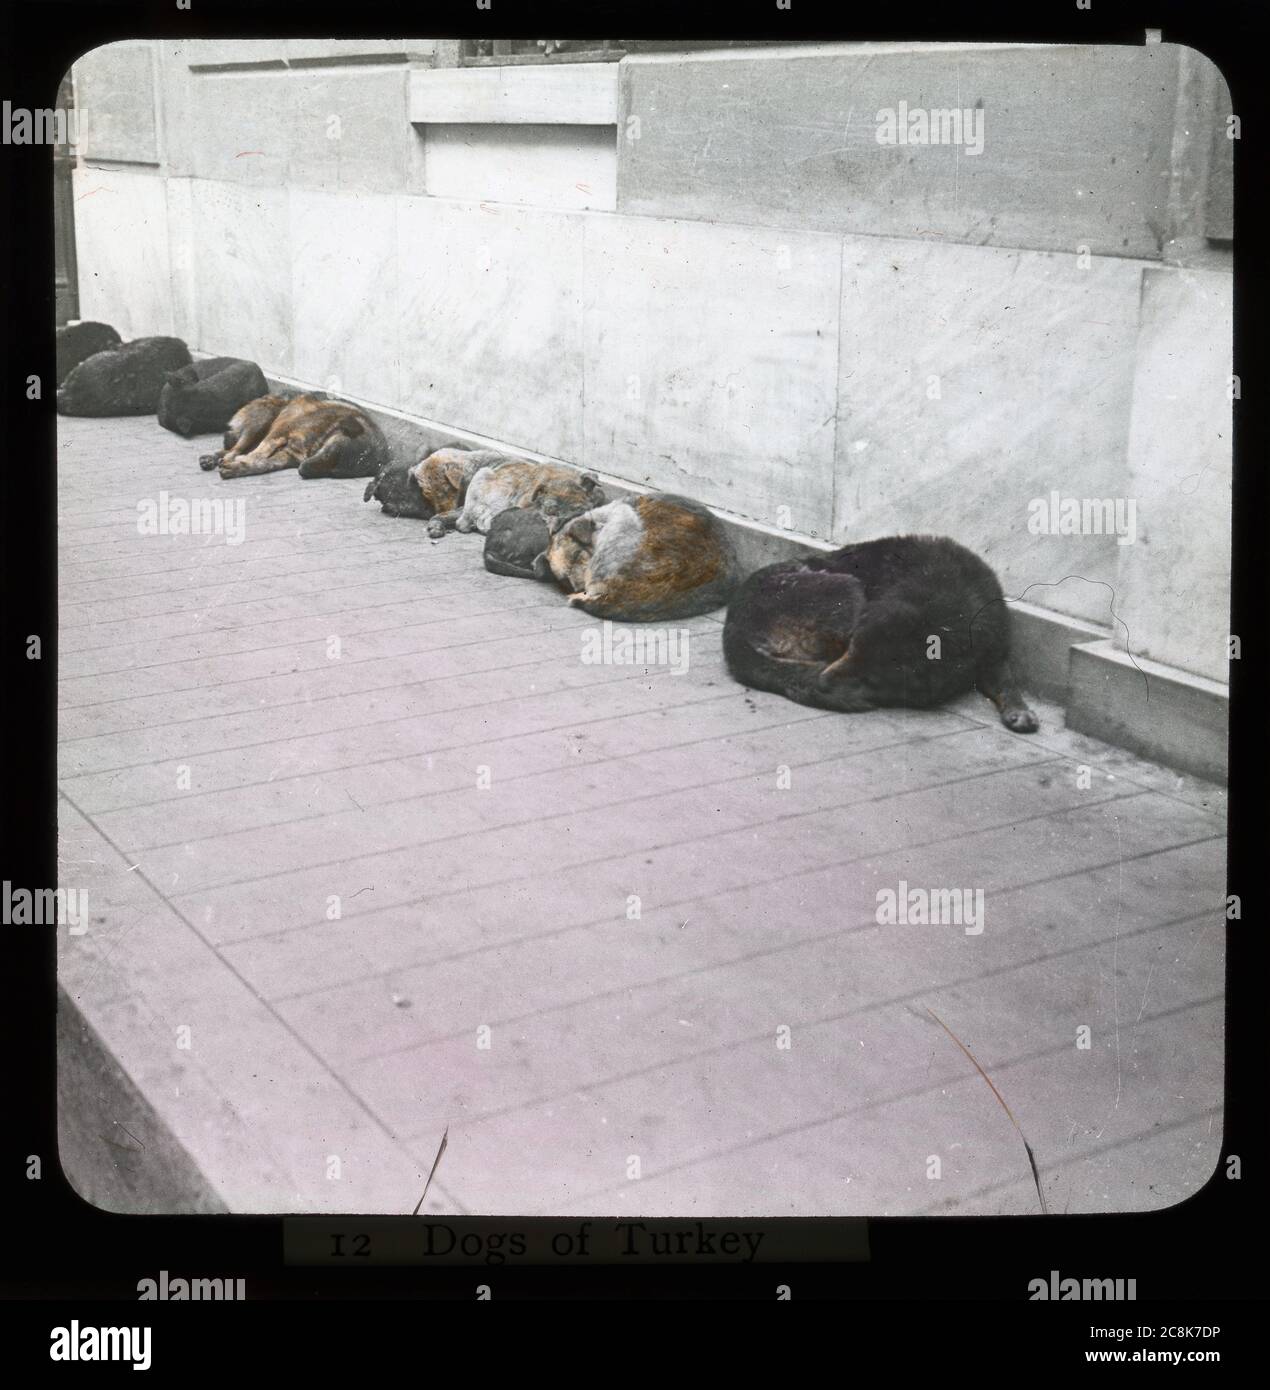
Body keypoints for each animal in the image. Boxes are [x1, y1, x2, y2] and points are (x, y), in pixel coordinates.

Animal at [197, 394, 386, 480]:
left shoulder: (286, 455)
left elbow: (262, 463)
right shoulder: (280, 432)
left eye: (334, 473)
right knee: (235, 449)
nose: (302, 470)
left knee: (234, 449)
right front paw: (240, 462)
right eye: (330, 453)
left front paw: (239, 468)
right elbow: (258, 454)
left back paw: (213, 459)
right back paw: (218, 458)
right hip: (261, 420)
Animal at [716, 528, 1033, 728]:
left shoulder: (992, 651)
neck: (949, 596)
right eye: (852, 648)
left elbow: (1006, 682)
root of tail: (733, 629)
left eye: (872, 679)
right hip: (847, 589)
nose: (823, 683)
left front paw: (1019, 710)